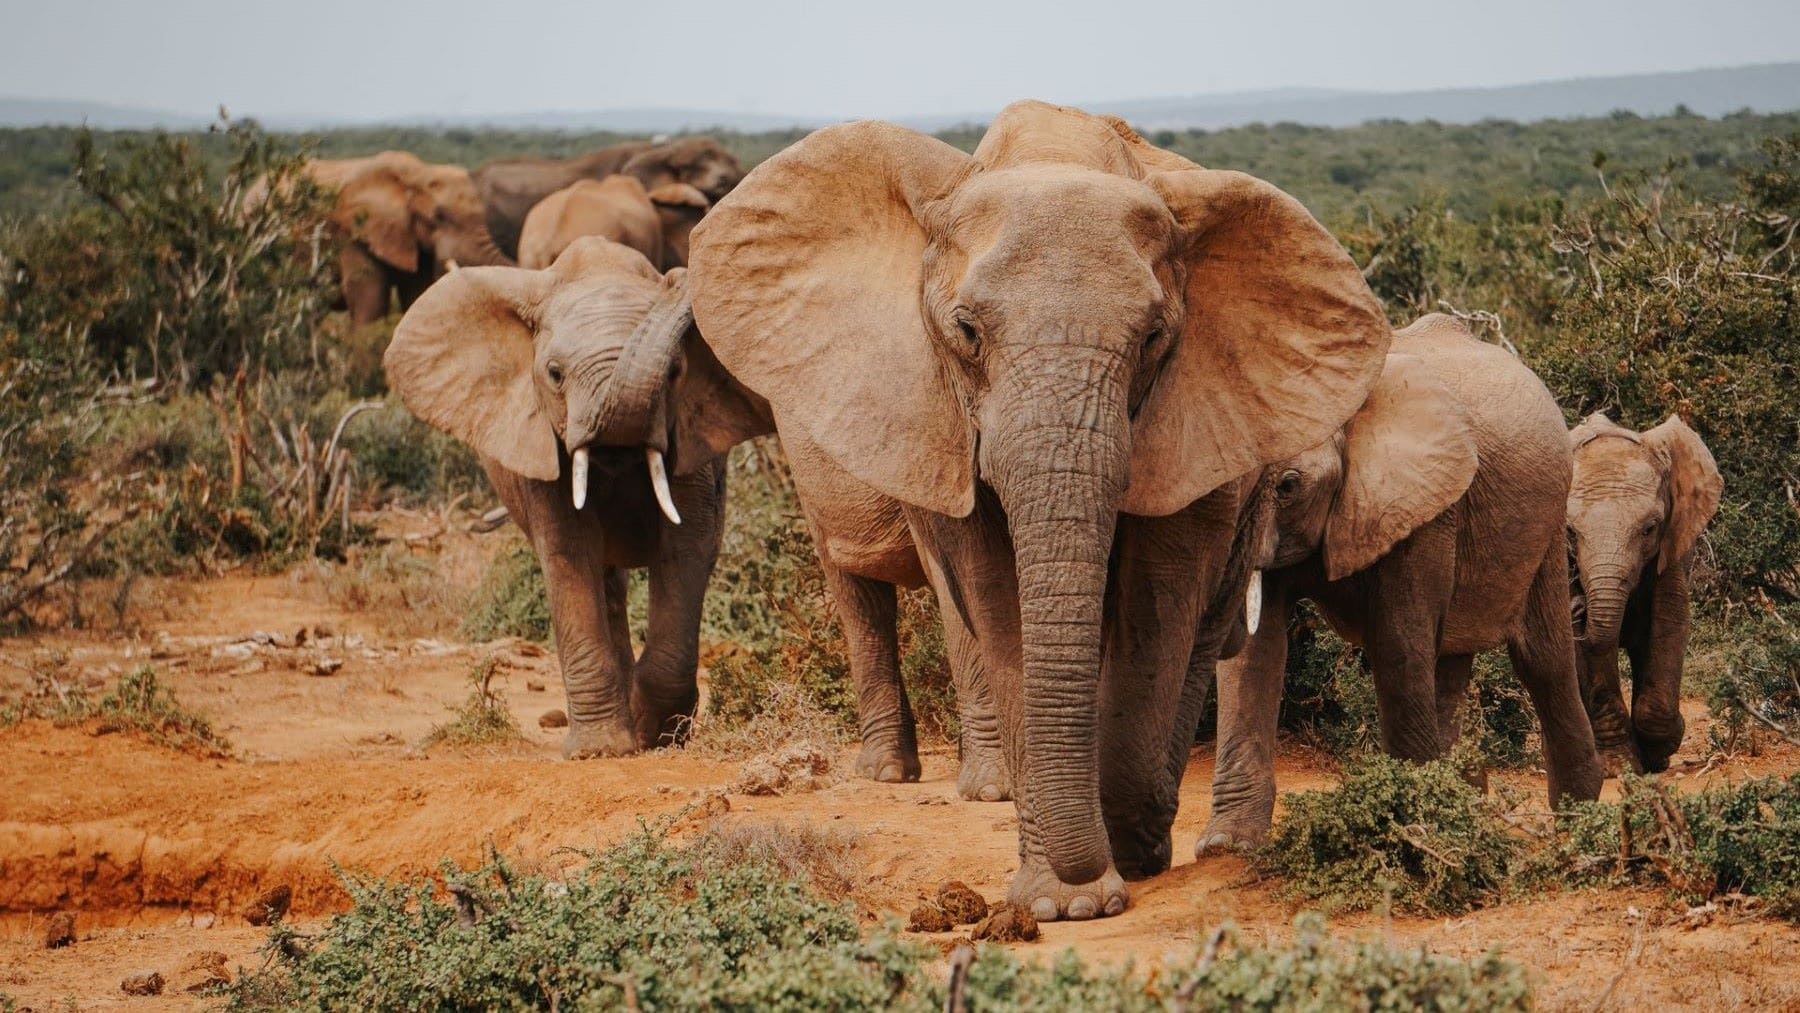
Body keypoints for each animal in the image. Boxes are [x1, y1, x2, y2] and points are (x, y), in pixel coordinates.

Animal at [384, 237, 770, 757]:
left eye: (675, 371)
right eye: (554, 374)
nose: (680, 279)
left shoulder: (690, 439)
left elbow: (687, 546)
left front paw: (656, 736)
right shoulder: (539, 443)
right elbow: (569, 552)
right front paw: (601, 750)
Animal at [687, 100, 1390, 920]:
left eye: (1154, 337)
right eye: (966, 331)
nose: (1097, 873)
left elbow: (1159, 596)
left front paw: (1115, 862)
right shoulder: (937, 409)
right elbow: (995, 601)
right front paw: (1061, 900)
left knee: (1206, 621)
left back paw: (1145, 833)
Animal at [1199, 314, 1606, 854]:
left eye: (1287, 486)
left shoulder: (1425, 507)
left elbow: (1397, 642)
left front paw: (1412, 829)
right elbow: (1253, 652)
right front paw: (1227, 845)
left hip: (1548, 521)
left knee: (1541, 658)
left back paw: (1577, 818)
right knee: (1451, 662)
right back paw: (1466, 802)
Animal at [1567, 412, 1721, 772]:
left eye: (1650, 528)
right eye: (1570, 533)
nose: (1578, 606)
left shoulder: (1674, 540)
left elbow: (1670, 620)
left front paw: (1660, 751)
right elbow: (1592, 650)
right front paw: (1618, 766)